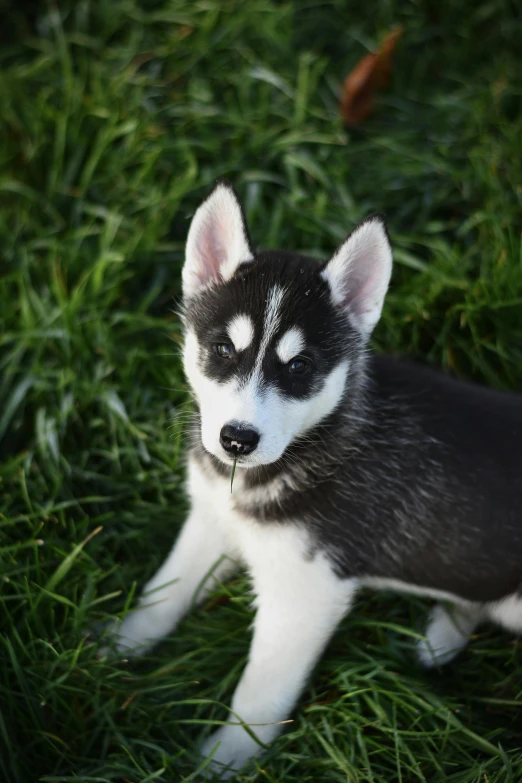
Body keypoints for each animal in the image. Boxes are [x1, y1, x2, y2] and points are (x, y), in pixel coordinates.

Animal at [108, 182, 520, 776]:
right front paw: (112, 648)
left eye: (299, 367)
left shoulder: (305, 594)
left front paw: (220, 764)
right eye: (223, 349)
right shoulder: (212, 522)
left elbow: (259, 696)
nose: (237, 440)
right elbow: (163, 594)